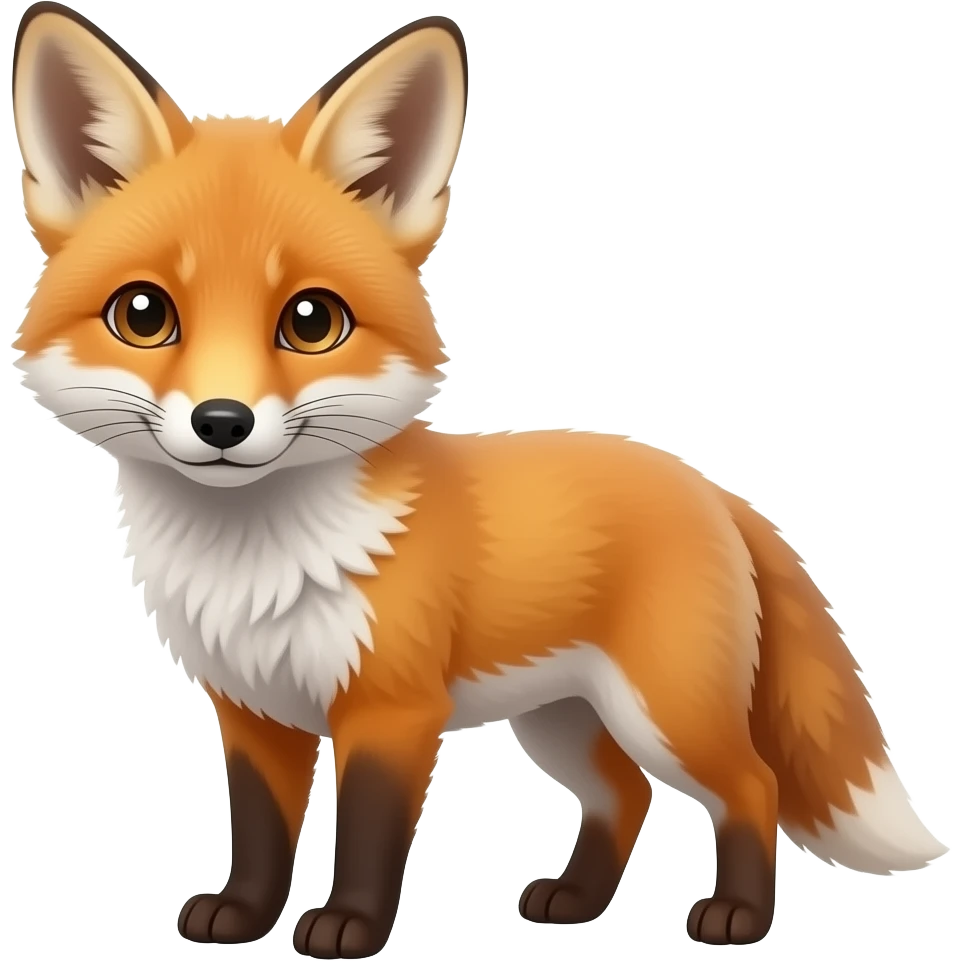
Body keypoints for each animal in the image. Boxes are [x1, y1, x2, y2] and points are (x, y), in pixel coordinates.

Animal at [11, 3, 950, 957]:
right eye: (143, 314)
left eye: (311, 321)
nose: (222, 423)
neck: (254, 560)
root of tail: (709, 485)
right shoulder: (253, 710)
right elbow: (262, 831)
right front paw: (241, 915)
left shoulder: (392, 710)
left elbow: (370, 834)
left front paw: (349, 925)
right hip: (563, 719)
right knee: (625, 794)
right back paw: (574, 901)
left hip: (665, 710)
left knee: (750, 786)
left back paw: (737, 917)